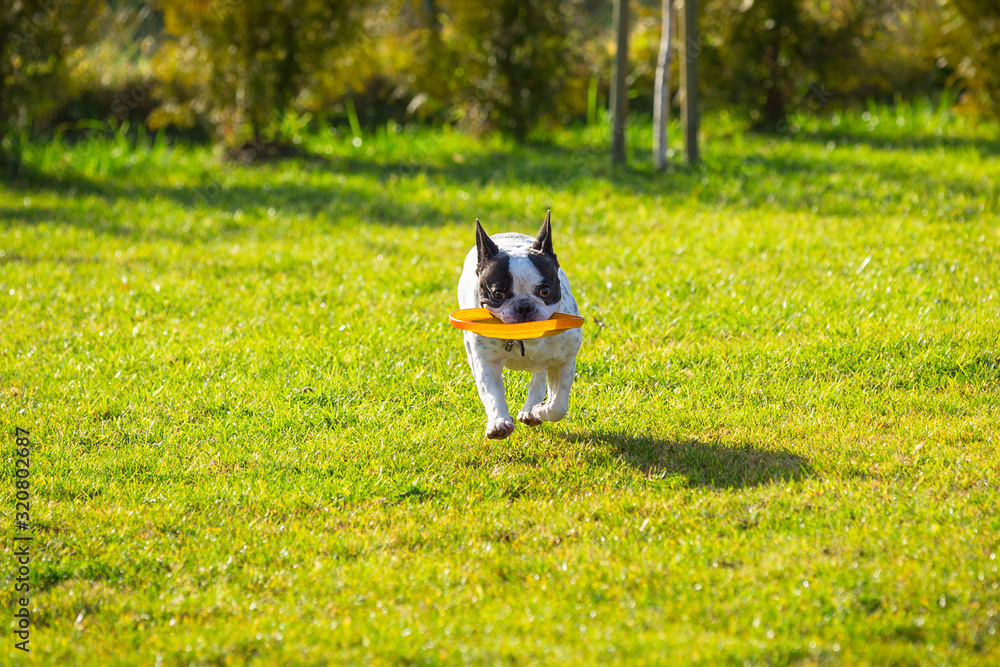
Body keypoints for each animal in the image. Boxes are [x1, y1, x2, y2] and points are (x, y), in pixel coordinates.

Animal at [458, 213, 584, 438]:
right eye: (498, 294)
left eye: (545, 290)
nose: (524, 306)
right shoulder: (487, 363)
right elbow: (492, 394)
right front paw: (498, 423)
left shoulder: (564, 361)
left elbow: (558, 404)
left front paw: (541, 410)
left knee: (539, 376)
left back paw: (531, 409)